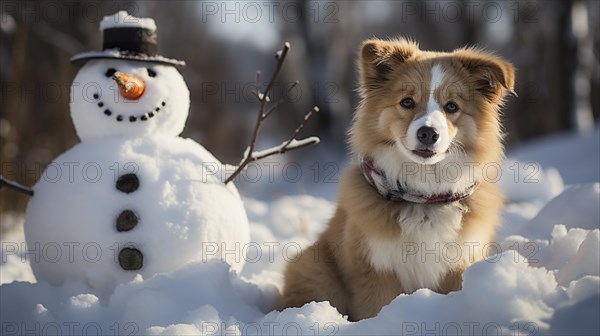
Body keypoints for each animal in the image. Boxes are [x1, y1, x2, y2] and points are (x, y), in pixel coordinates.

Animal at [278, 38, 516, 320]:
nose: (428, 133)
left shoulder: (459, 266)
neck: (425, 197)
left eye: (452, 106)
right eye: (407, 102)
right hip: (313, 268)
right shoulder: (376, 273)